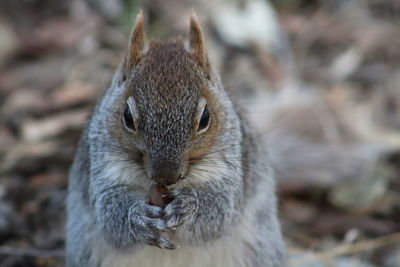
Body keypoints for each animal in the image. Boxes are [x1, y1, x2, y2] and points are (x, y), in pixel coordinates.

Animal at [66, 11, 284, 267]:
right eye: (128, 117)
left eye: (205, 118)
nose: (165, 176)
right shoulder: (103, 166)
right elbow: (109, 216)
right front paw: (137, 218)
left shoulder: (229, 166)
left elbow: (219, 211)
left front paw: (188, 206)